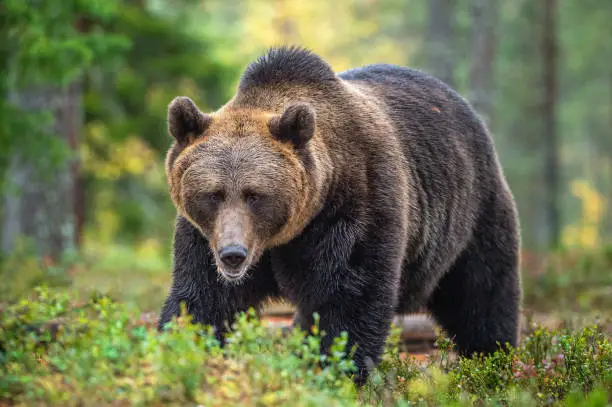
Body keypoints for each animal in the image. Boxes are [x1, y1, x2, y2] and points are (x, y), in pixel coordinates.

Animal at [158, 46, 520, 384]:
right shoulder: (203, 237)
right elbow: (202, 299)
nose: (233, 254)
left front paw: (338, 370)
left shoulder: (354, 209)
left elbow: (349, 299)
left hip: (472, 212)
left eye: (255, 195)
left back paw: (493, 360)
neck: (283, 236)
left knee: (482, 294)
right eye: (213, 194)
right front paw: (180, 350)